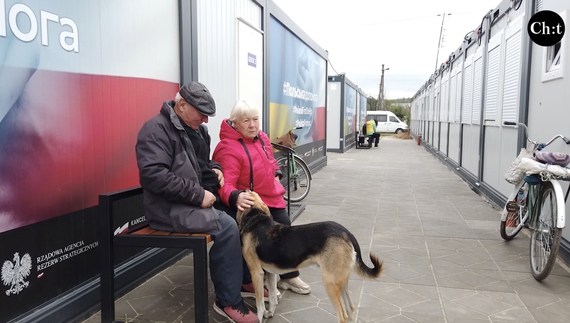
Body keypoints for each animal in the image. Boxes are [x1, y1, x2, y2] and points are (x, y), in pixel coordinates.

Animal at [235, 191, 382, 322]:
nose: (244, 189)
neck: (255, 219)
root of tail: (346, 233)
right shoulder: (270, 272)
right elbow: (271, 298)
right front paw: (270, 313)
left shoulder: (256, 273)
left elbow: (260, 305)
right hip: (341, 279)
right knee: (350, 309)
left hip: (330, 282)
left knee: (343, 316)